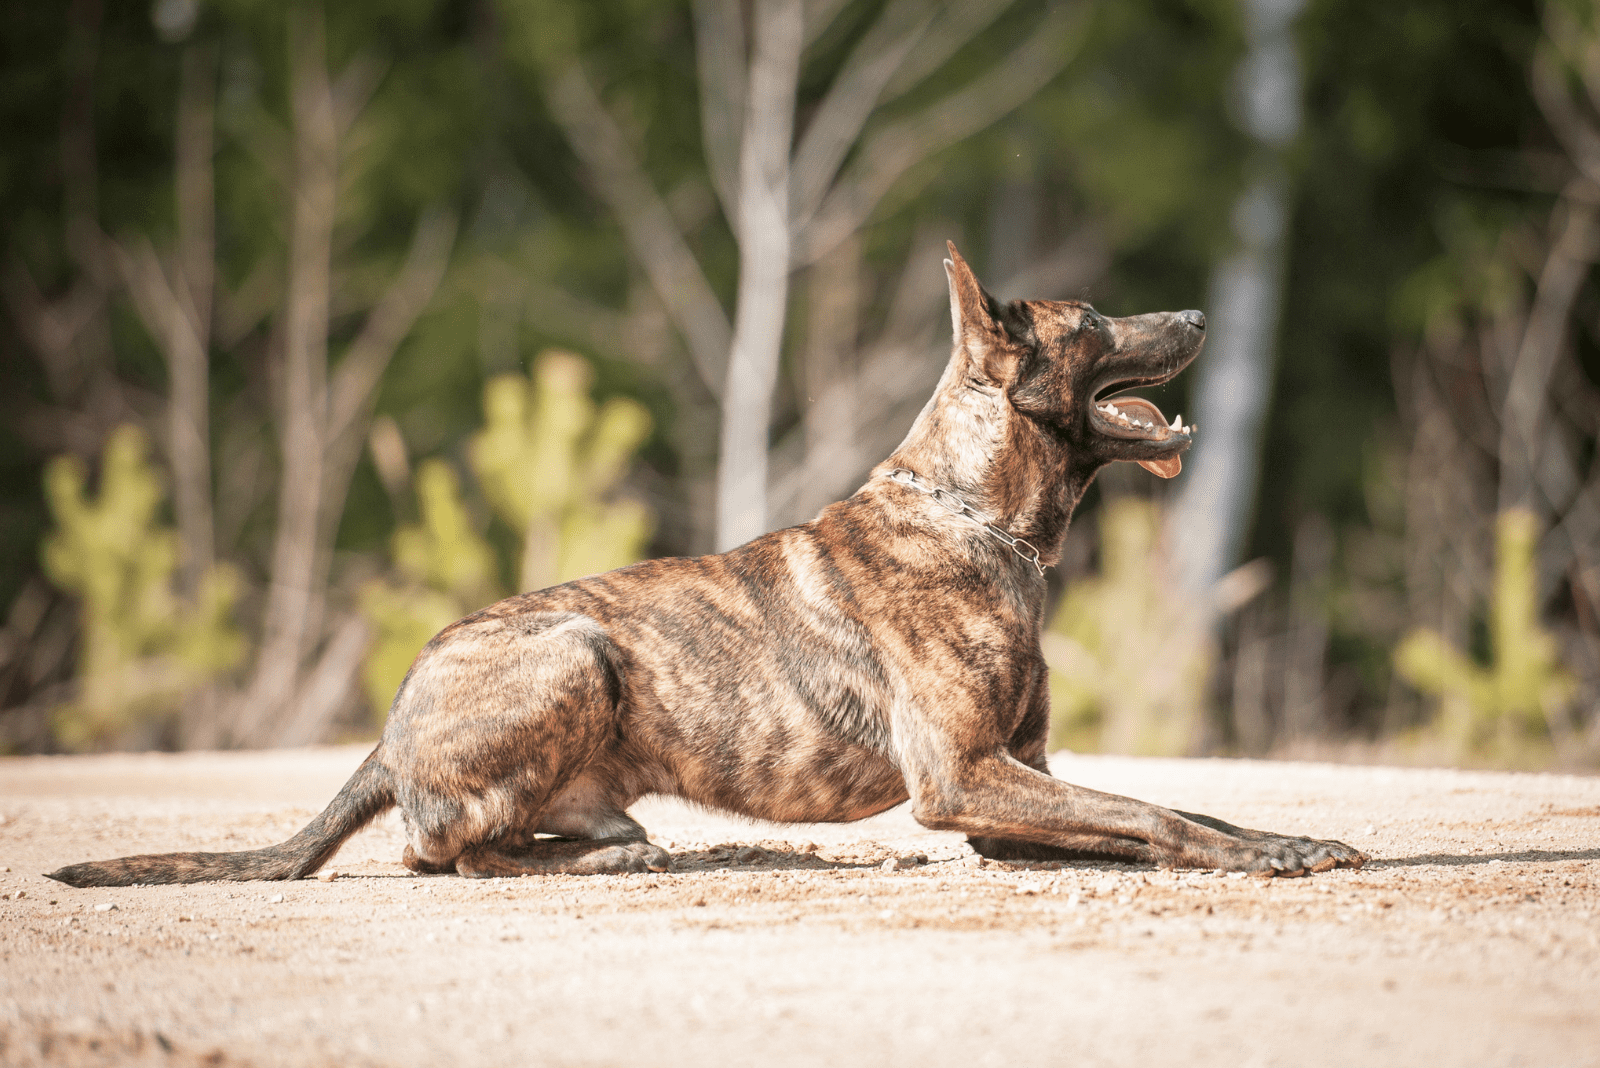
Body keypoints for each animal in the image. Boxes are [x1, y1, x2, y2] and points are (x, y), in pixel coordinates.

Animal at [50, 246, 1369, 888]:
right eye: (1093, 322)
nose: (1197, 319)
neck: (975, 515)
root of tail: (389, 725)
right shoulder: (966, 783)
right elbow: (1153, 813)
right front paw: (1268, 853)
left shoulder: (1015, 787)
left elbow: (1169, 808)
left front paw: (1286, 835)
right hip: (572, 649)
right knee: (439, 850)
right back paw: (579, 861)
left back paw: (627, 845)